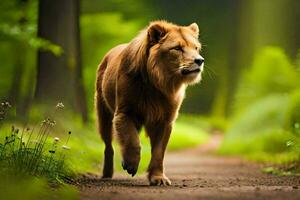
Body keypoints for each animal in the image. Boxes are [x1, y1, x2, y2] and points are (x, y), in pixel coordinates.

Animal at [95, 20, 204, 186]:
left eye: (196, 48)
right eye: (177, 48)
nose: (200, 60)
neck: (158, 83)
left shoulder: (165, 121)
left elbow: (159, 153)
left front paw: (158, 178)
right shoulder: (124, 113)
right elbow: (132, 141)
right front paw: (130, 164)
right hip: (104, 116)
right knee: (108, 146)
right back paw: (107, 173)